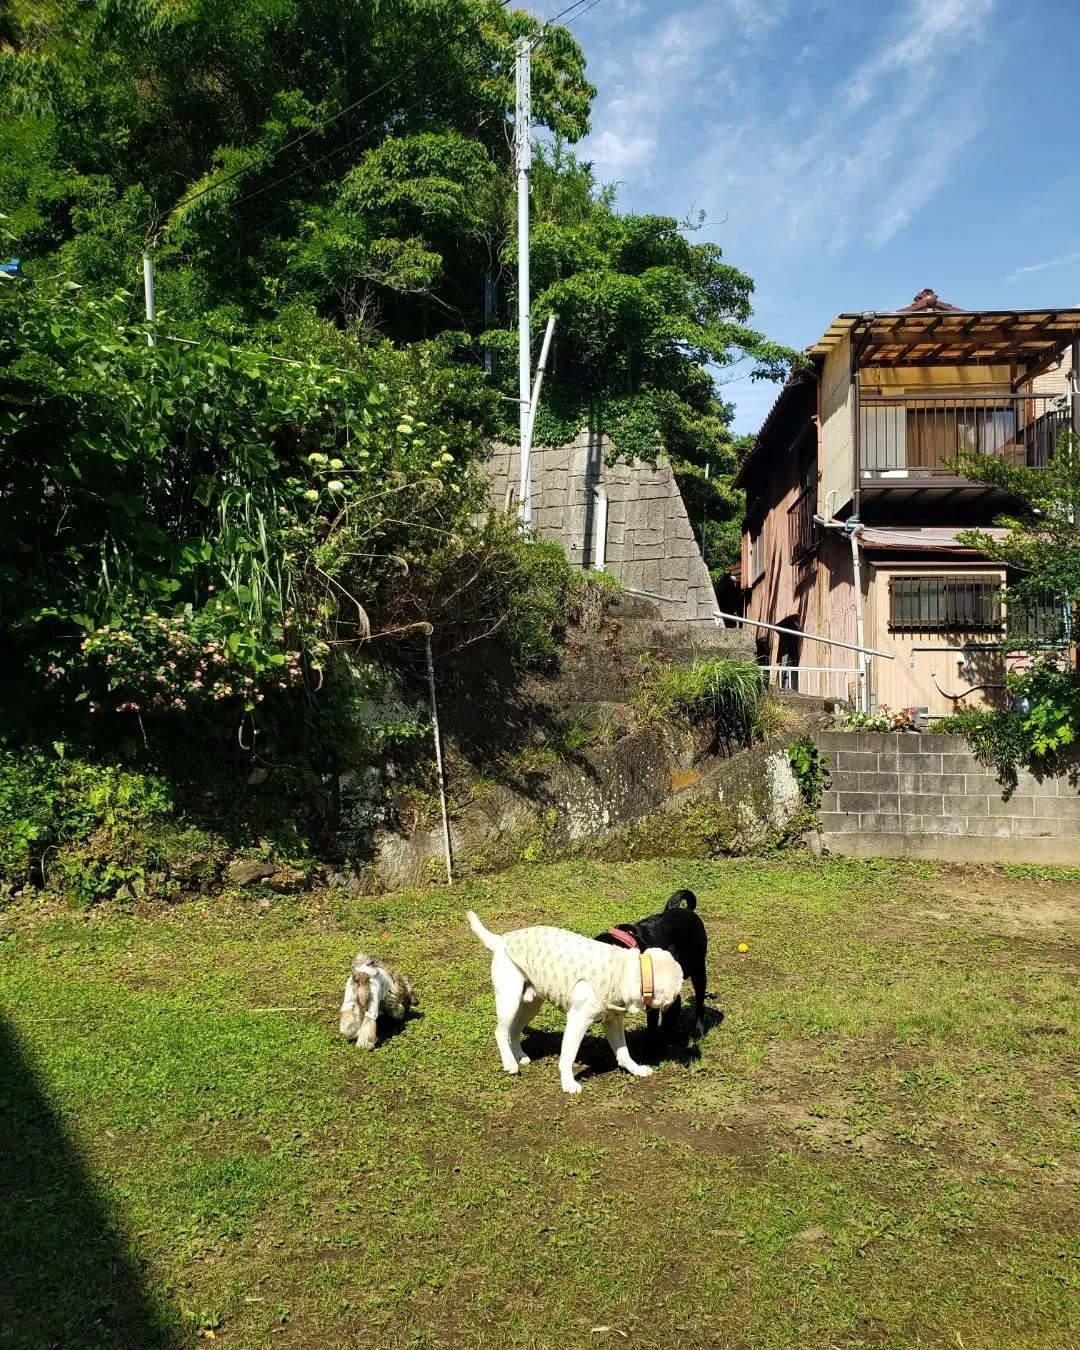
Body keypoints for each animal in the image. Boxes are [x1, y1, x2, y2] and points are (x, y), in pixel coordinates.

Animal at [467, 907, 683, 1096]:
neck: (625, 971)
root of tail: (501, 939)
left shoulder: (612, 1020)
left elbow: (623, 1052)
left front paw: (635, 1069)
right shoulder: (578, 1020)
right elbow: (568, 1057)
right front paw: (569, 1083)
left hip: (531, 1005)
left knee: (513, 1030)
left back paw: (518, 1055)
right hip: (509, 1000)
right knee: (500, 1031)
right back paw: (509, 1062)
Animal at [594, 891, 712, 1047]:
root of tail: (685, 911)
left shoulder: (671, 1000)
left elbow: (664, 1027)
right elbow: (652, 1025)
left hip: (698, 972)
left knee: (700, 1004)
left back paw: (698, 1030)